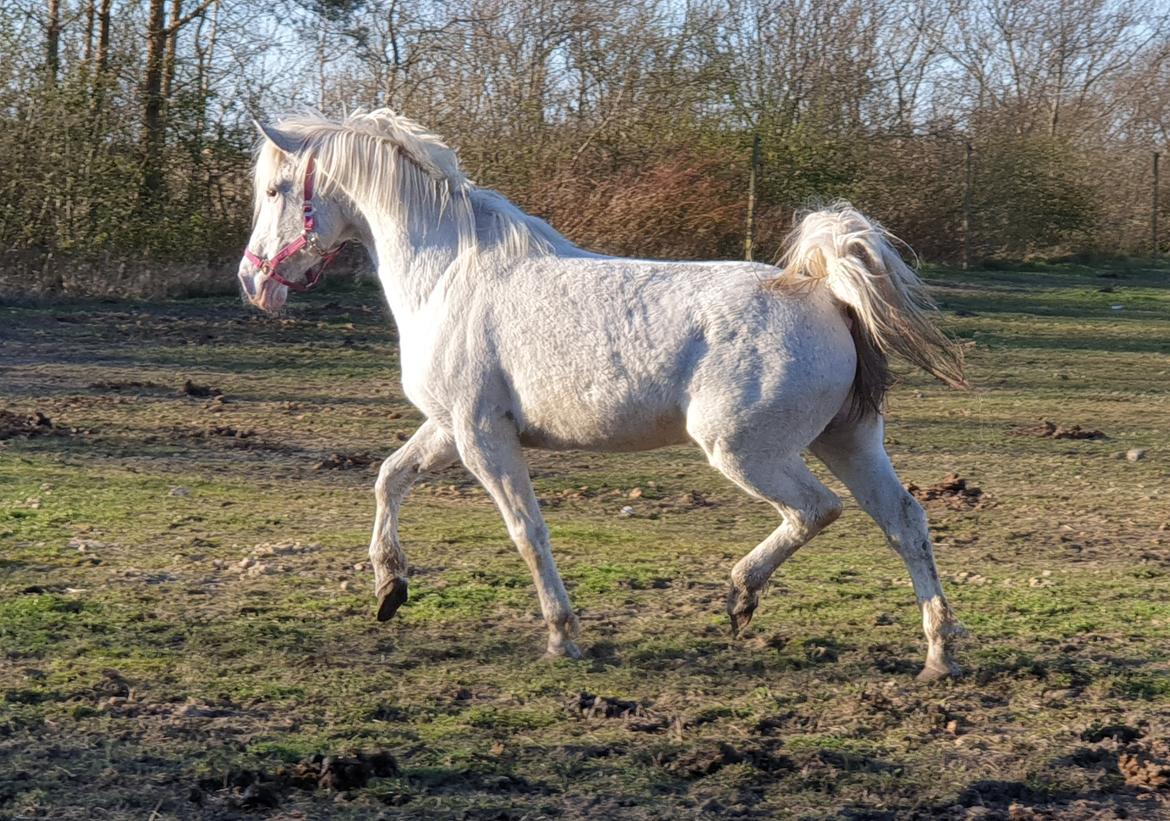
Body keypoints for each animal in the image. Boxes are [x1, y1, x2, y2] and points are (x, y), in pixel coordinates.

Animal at [237, 109, 968, 682]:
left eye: (275, 189)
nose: (252, 281)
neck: (447, 276)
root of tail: (824, 293)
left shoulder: (481, 435)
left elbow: (526, 530)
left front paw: (563, 637)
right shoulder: (449, 427)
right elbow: (389, 479)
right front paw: (390, 588)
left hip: (745, 451)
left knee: (817, 510)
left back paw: (740, 593)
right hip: (847, 440)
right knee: (904, 521)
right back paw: (938, 656)